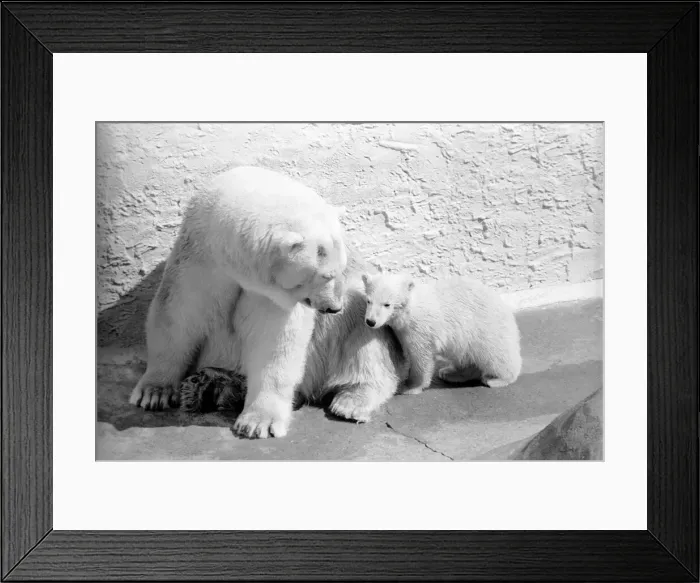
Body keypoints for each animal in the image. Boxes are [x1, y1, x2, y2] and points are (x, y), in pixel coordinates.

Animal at [129, 166, 348, 424]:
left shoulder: (267, 294)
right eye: (326, 275)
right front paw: (154, 392)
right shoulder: (199, 260)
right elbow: (178, 315)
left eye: (342, 268)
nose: (335, 307)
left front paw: (260, 420)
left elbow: (274, 340)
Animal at [362, 272, 522, 394]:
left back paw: (497, 379)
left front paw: (410, 387)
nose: (370, 321)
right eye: (369, 301)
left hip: (485, 328)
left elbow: (421, 357)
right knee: (465, 357)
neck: (411, 309)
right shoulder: (403, 330)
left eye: (387, 304)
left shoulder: (421, 329)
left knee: (495, 355)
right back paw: (450, 373)